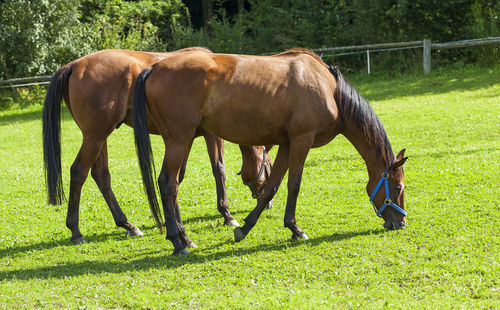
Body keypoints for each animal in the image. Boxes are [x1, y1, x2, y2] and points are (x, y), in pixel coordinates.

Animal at [42, 47, 274, 247]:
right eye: (269, 166)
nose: (268, 202)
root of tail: (74, 65)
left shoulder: (183, 138)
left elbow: (178, 178)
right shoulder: (210, 136)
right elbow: (218, 169)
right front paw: (226, 214)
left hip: (99, 137)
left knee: (101, 176)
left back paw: (127, 225)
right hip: (95, 137)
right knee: (78, 172)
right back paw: (75, 230)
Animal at [132, 47, 406, 256]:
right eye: (397, 188)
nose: (400, 223)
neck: (329, 90)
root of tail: (154, 68)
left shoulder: (287, 144)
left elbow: (272, 187)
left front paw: (246, 228)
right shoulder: (301, 141)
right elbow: (294, 184)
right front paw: (296, 229)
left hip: (184, 140)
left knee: (174, 185)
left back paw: (184, 238)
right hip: (179, 140)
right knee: (167, 184)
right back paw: (177, 243)